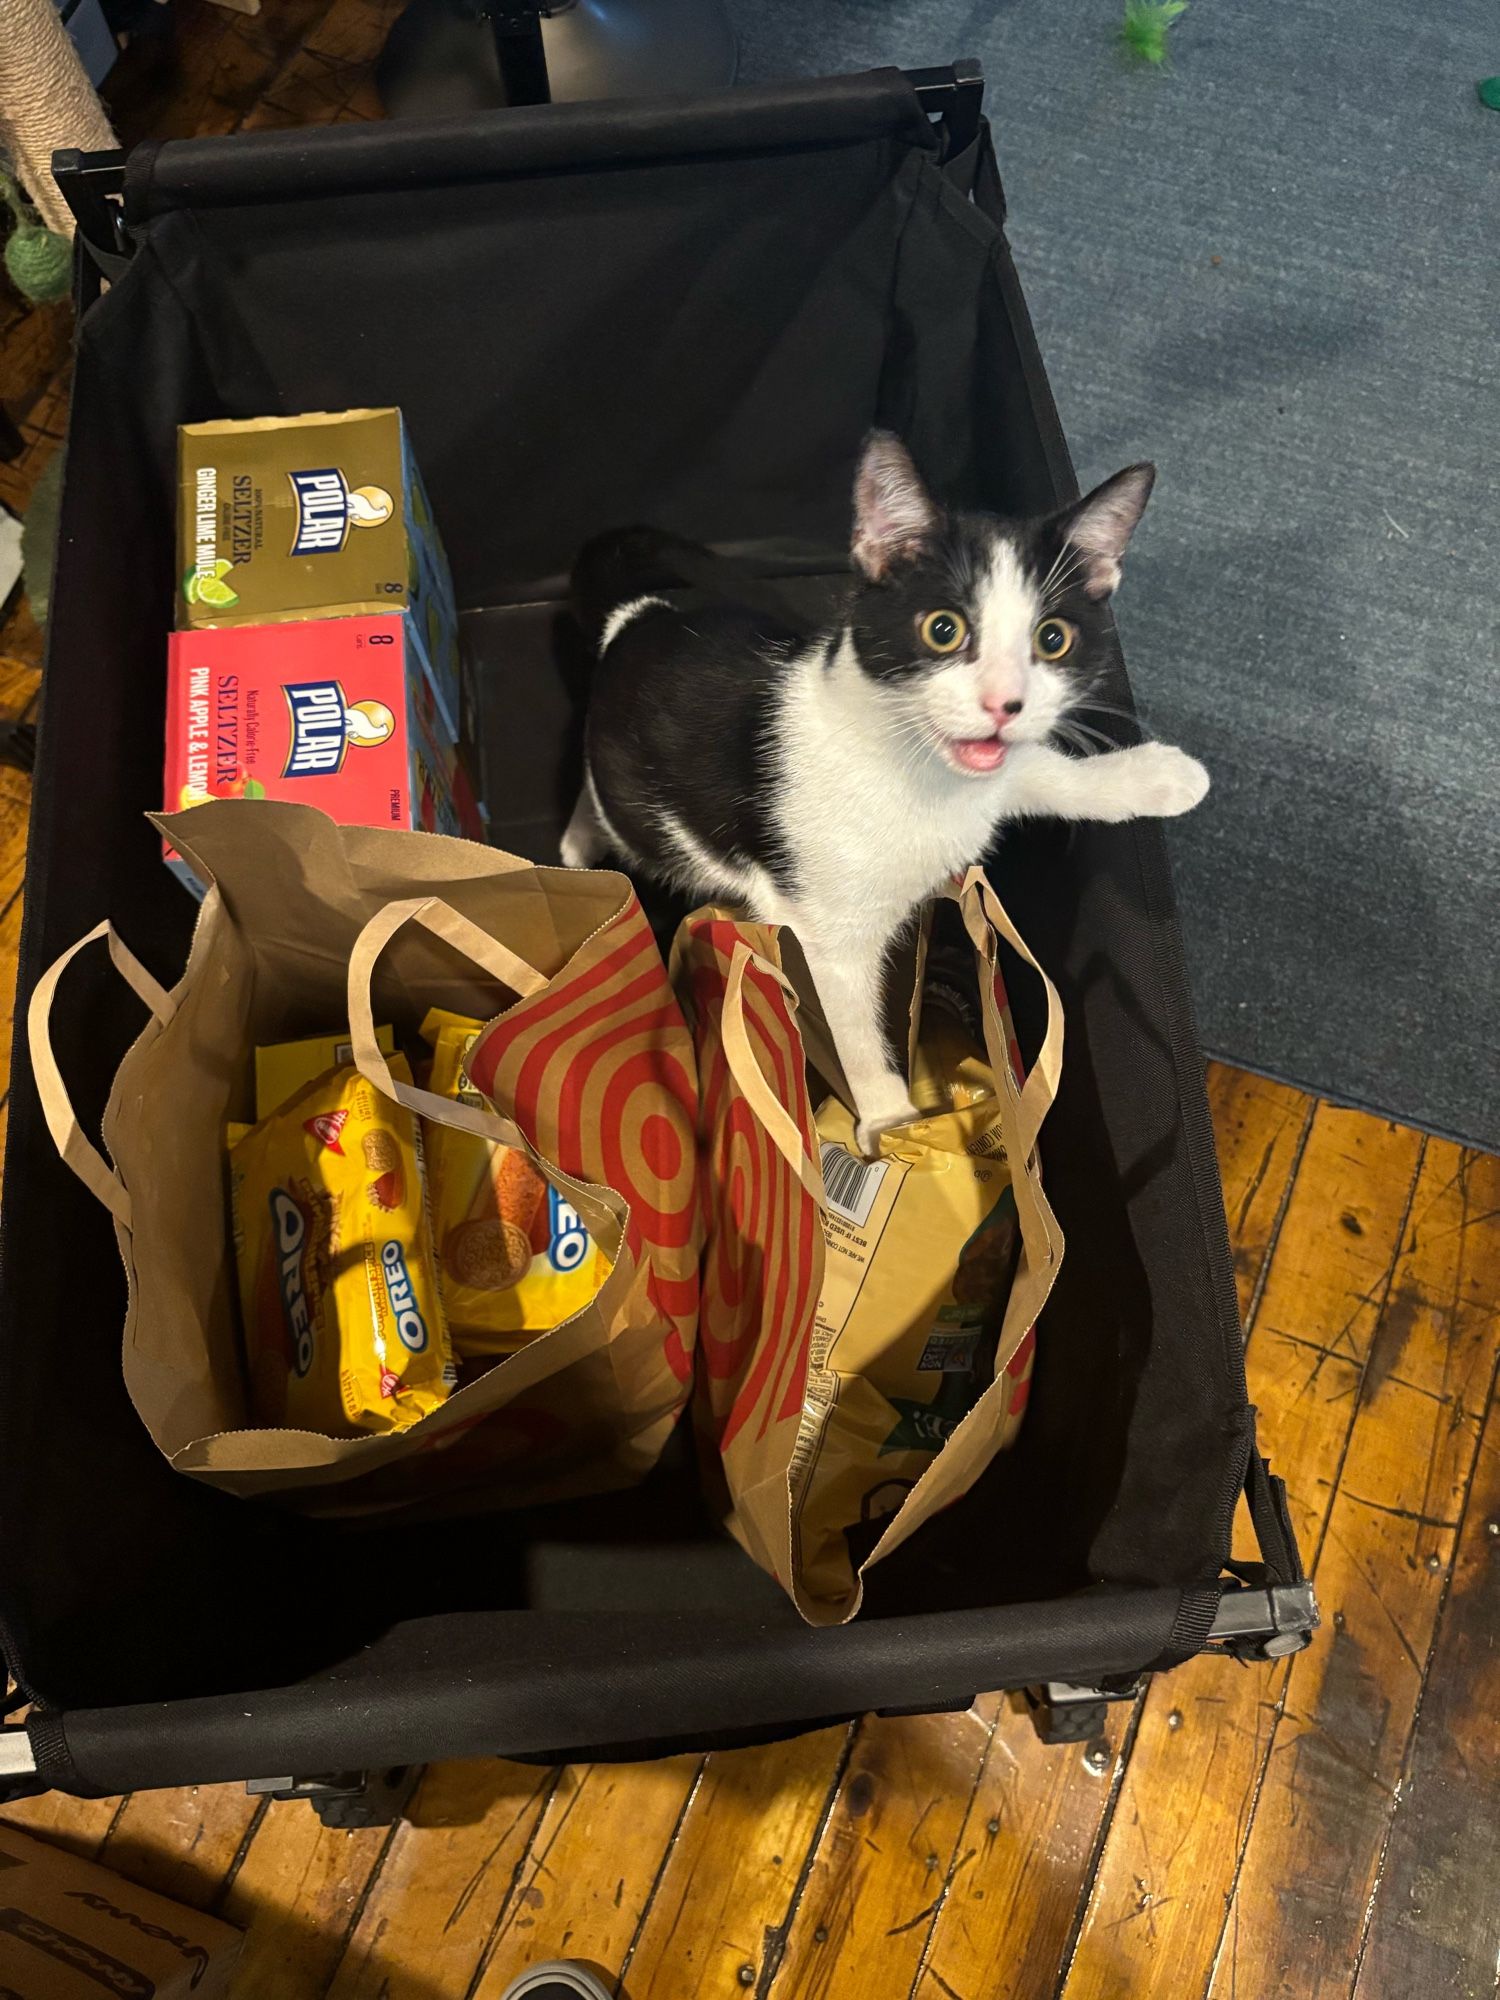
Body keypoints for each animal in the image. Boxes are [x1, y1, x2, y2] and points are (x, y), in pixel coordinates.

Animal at [564, 438, 1208, 1160]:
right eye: (942, 629)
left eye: (1053, 639)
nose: (1004, 704)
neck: (917, 776)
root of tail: (637, 617)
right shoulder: (825, 934)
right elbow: (855, 1029)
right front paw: (889, 1119)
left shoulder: (987, 776)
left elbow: (1036, 773)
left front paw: (1156, 777)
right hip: (635, 803)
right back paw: (577, 846)